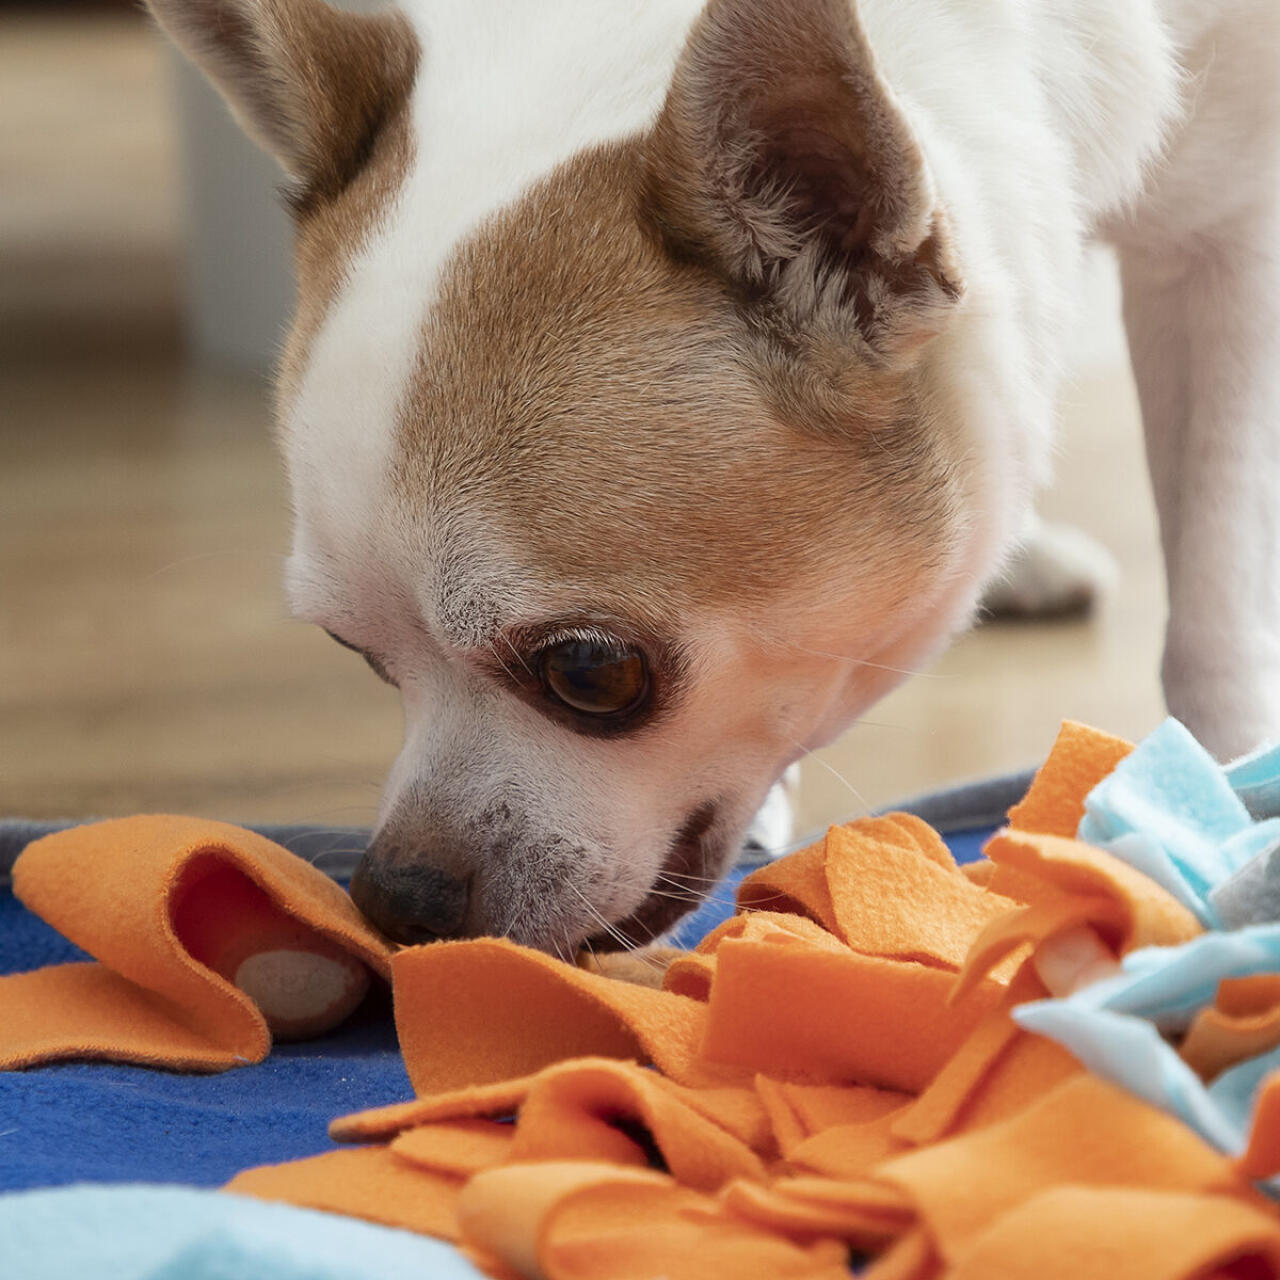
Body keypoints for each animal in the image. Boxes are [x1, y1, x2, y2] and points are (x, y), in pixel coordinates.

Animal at [145, 0, 1274, 952]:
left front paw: (1220, 807)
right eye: (361, 654)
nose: (397, 898)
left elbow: (1216, 599)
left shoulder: (1231, 239)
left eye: (590, 672)